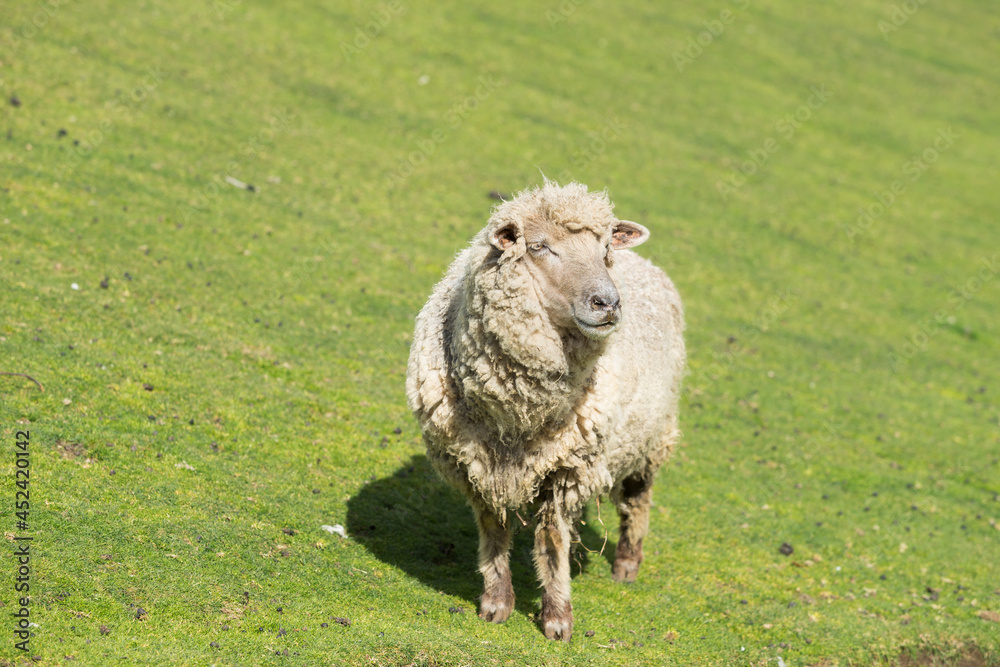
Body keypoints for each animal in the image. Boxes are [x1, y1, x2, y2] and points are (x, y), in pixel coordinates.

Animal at [405, 180, 685, 641]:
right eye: (539, 246)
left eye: (605, 247)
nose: (608, 302)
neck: (515, 413)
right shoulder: (473, 462)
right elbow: (492, 526)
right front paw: (496, 602)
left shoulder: (568, 468)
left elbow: (553, 540)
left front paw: (557, 619)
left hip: (653, 434)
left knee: (637, 498)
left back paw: (627, 563)